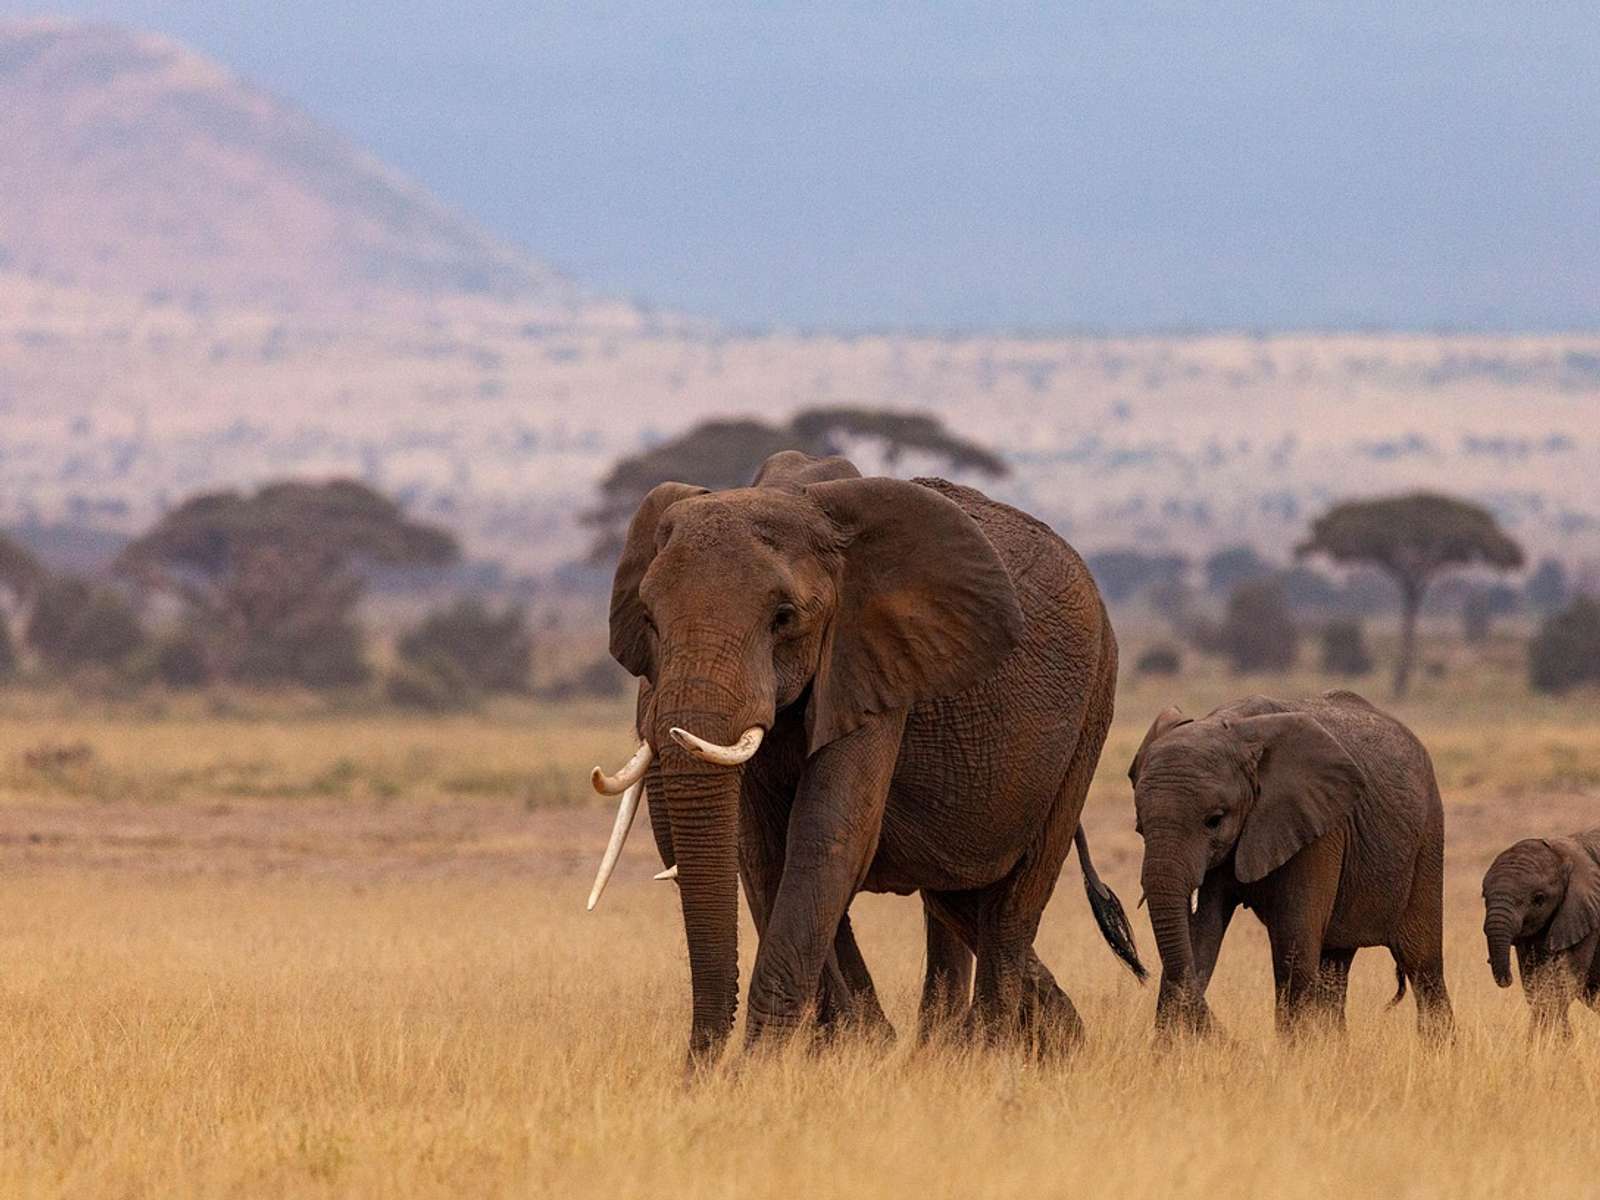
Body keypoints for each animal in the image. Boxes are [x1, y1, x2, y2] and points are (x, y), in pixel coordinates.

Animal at [585, 451, 1144, 1064]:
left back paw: (987, 1053)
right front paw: (845, 1051)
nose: (697, 1072)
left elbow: (827, 837)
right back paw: (1029, 1040)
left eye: (784, 617)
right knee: (956, 896)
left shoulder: (876, 663)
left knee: (1015, 901)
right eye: (649, 620)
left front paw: (763, 1067)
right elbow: (763, 852)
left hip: (1093, 706)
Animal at [1128, 690, 1453, 1039]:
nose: (1233, 1040)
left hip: (1428, 838)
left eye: (1214, 820)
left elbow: (1293, 944)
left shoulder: (1319, 826)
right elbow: (1200, 936)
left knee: (1422, 962)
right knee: (1335, 964)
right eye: (1140, 827)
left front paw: (1296, 1051)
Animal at [1481, 830, 1600, 1039]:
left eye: (1539, 899)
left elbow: (1562, 981)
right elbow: (1534, 983)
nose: (1507, 979)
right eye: (1483, 896)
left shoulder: (1587, 912)